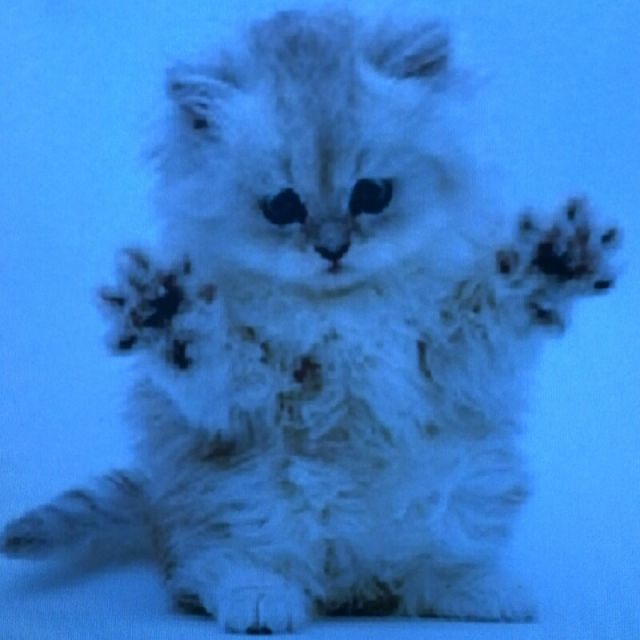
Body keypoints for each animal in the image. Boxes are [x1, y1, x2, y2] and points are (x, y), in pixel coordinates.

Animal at [1, 9, 620, 634]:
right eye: (283, 206)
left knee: (423, 574)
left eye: (371, 194)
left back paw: (478, 589)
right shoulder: (242, 394)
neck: (345, 312)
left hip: (467, 482)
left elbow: (497, 310)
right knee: (211, 563)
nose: (332, 249)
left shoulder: (451, 352)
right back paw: (259, 597)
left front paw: (551, 262)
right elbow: (208, 360)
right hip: (227, 493)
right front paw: (167, 311)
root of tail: (355, 580)